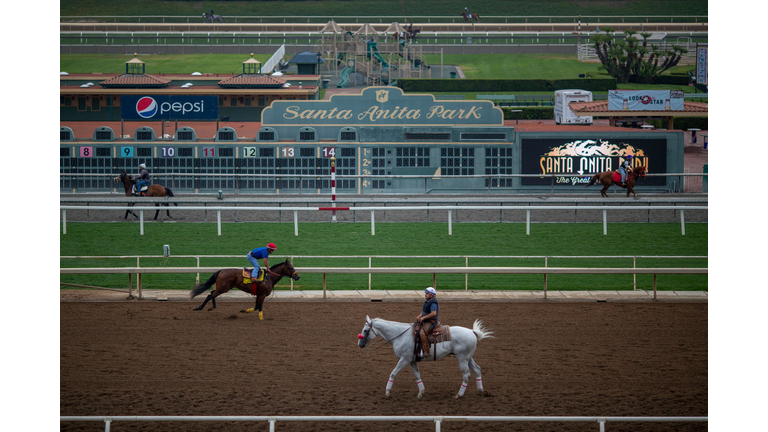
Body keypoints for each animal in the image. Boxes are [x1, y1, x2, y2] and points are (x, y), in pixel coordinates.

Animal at [358, 314, 496, 398]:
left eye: (365, 330)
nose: (360, 344)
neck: (401, 335)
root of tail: (472, 332)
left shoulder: (404, 359)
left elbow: (393, 373)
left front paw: (387, 392)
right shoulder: (412, 361)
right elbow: (417, 375)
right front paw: (421, 392)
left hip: (462, 358)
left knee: (466, 375)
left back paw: (459, 395)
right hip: (468, 358)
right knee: (477, 370)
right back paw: (482, 391)